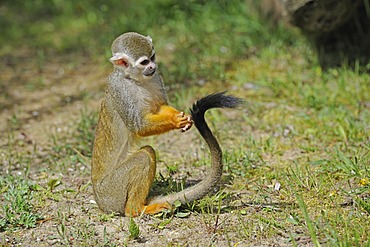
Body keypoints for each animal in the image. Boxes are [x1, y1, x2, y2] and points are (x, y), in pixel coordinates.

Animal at [92, 31, 243, 215]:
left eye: (153, 57)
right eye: (144, 62)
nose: (152, 67)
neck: (134, 79)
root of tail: (101, 203)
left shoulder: (156, 78)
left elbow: (159, 106)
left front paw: (179, 117)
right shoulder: (121, 89)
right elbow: (139, 126)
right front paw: (174, 120)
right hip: (113, 192)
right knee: (144, 155)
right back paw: (136, 209)